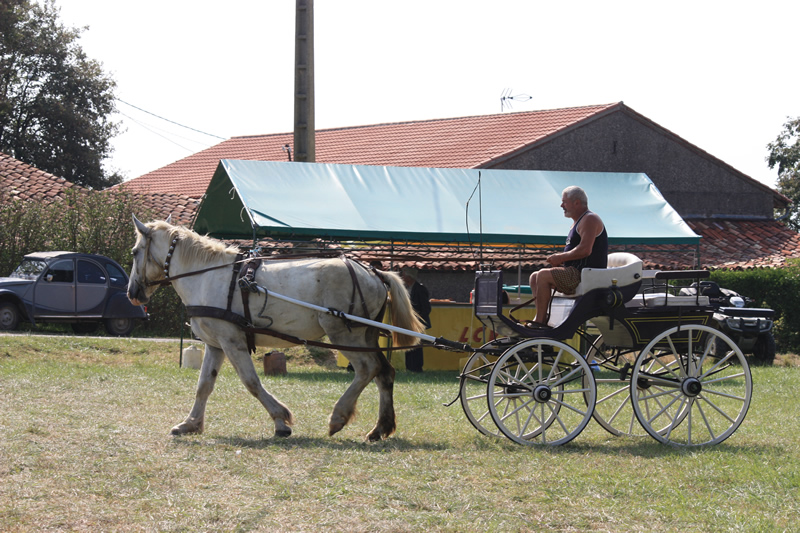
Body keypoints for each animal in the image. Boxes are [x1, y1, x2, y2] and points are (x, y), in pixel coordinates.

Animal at [127, 216, 426, 441]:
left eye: (134, 252)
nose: (132, 293)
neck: (207, 275)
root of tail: (373, 272)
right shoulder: (215, 344)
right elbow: (204, 385)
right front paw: (190, 424)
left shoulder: (232, 341)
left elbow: (251, 382)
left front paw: (281, 420)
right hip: (365, 336)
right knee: (384, 373)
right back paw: (380, 428)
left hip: (344, 334)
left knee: (367, 369)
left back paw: (338, 417)